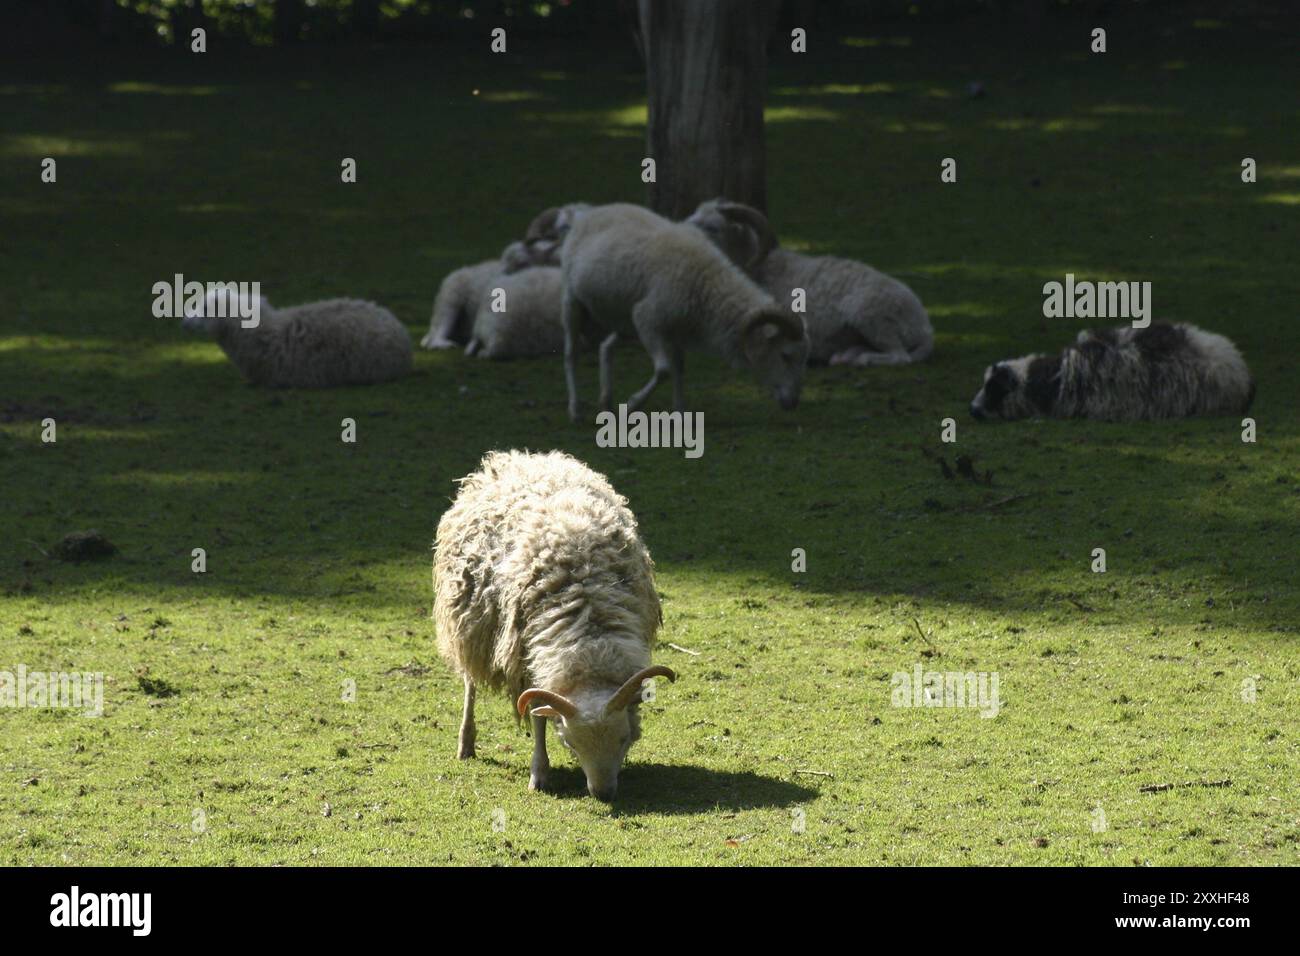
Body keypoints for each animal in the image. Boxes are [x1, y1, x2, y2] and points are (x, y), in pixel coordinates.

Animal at [433, 449, 676, 801]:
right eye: (571, 743)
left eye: (623, 738)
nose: (603, 793)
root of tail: (519, 456)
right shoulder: (524, 661)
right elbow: (537, 719)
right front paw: (539, 773)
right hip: (468, 622)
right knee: (470, 682)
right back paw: (466, 742)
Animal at [559, 203, 809, 421]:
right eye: (785, 355)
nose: (794, 402)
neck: (707, 284)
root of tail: (590, 213)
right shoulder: (646, 319)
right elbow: (664, 370)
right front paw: (632, 404)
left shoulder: (675, 330)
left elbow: (678, 369)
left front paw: (680, 412)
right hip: (572, 300)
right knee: (571, 354)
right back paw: (575, 410)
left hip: (623, 320)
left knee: (605, 347)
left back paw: (606, 402)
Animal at [685, 198, 934, 367]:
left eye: (713, 227)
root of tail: (924, 326)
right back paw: (844, 357)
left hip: (872, 316)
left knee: (900, 357)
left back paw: (861, 360)